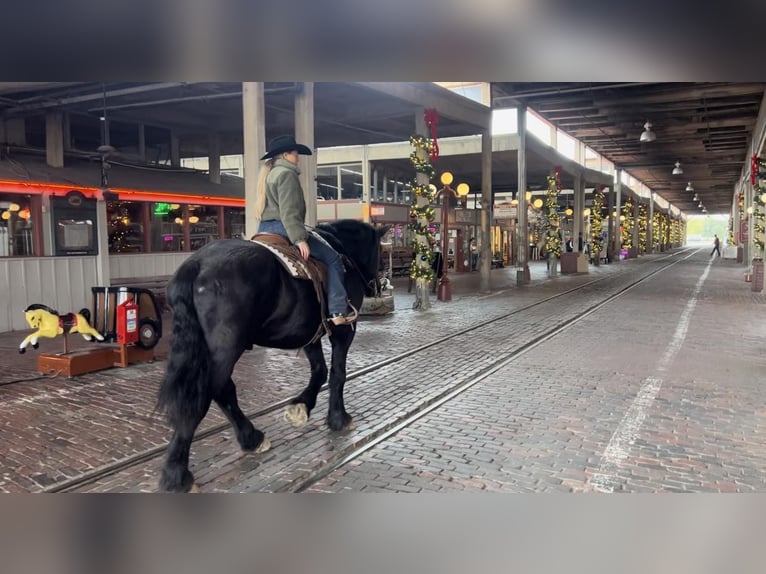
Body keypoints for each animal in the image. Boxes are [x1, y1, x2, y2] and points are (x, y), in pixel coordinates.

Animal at [158, 220, 390, 496]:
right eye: (379, 252)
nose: (377, 286)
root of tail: (197, 265)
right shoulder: (344, 331)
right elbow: (337, 373)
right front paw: (338, 418)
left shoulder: (309, 333)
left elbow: (320, 370)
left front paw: (301, 406)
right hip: (225, 347)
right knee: (205, 395)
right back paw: (177, 474)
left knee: (221, 391)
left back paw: (250, 439)